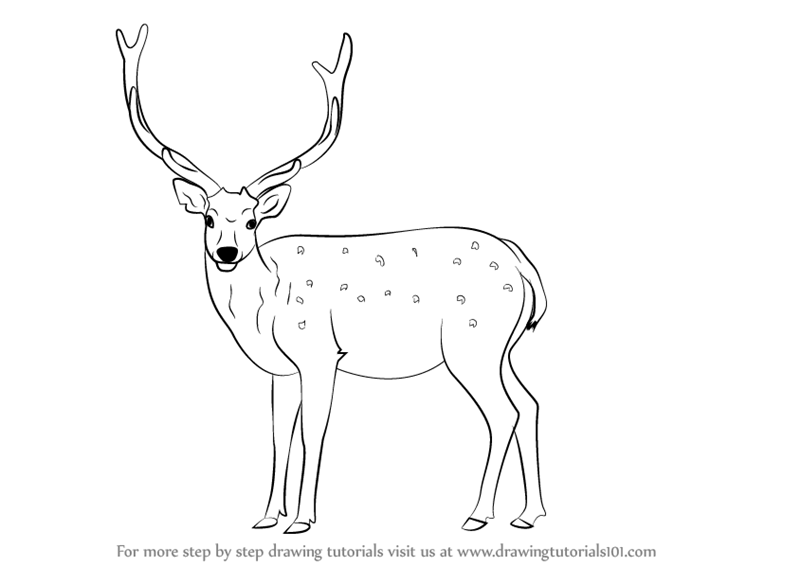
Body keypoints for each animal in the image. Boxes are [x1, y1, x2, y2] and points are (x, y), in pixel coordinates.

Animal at [116, 24, 547, 534]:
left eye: (251, 221)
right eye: (208, 218)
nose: (227, 252)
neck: (263, 307)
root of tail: (524, 267)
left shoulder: (320, 353)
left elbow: (313, 434)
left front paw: (302, 520)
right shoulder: (281, 370)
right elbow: (280, 435)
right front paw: (267, 517)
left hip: (471, 343)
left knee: (503, 413)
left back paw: (478, 514)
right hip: (503, 346)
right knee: (529, 404)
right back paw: (529, 514)